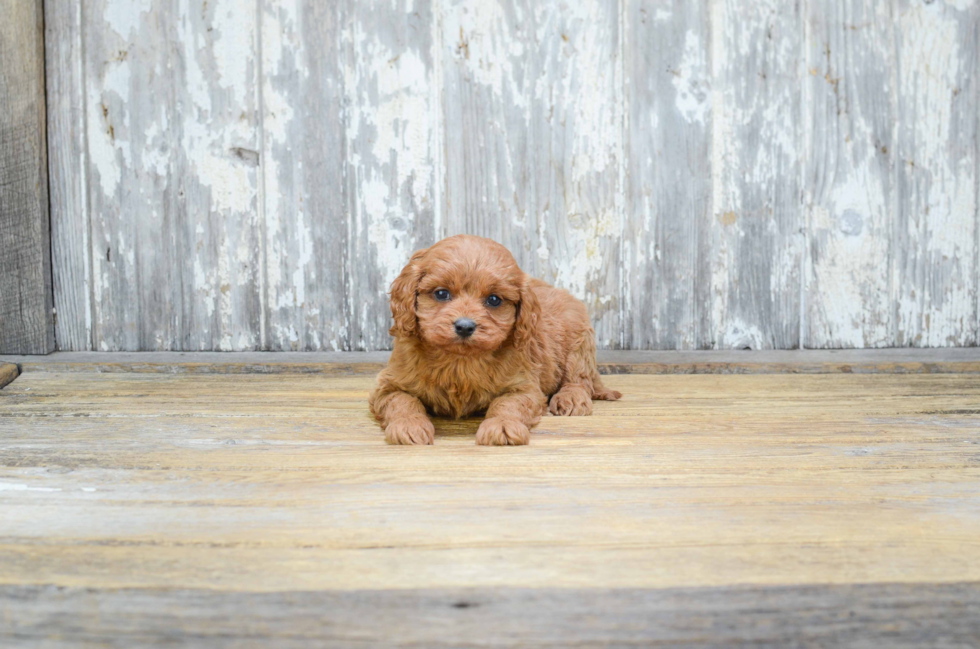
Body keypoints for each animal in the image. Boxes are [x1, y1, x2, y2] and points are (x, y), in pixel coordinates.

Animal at [368, 234, 620, 446]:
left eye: (494, 300)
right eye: (441, 293)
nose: (465, 326)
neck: (460, 361)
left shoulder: (524, 387)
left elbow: (507, 404)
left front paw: (502, 426)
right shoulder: (388, 385)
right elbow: (402, 401)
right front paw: (408, 425)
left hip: (579, 344)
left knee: (579, 379)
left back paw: (571, 398)